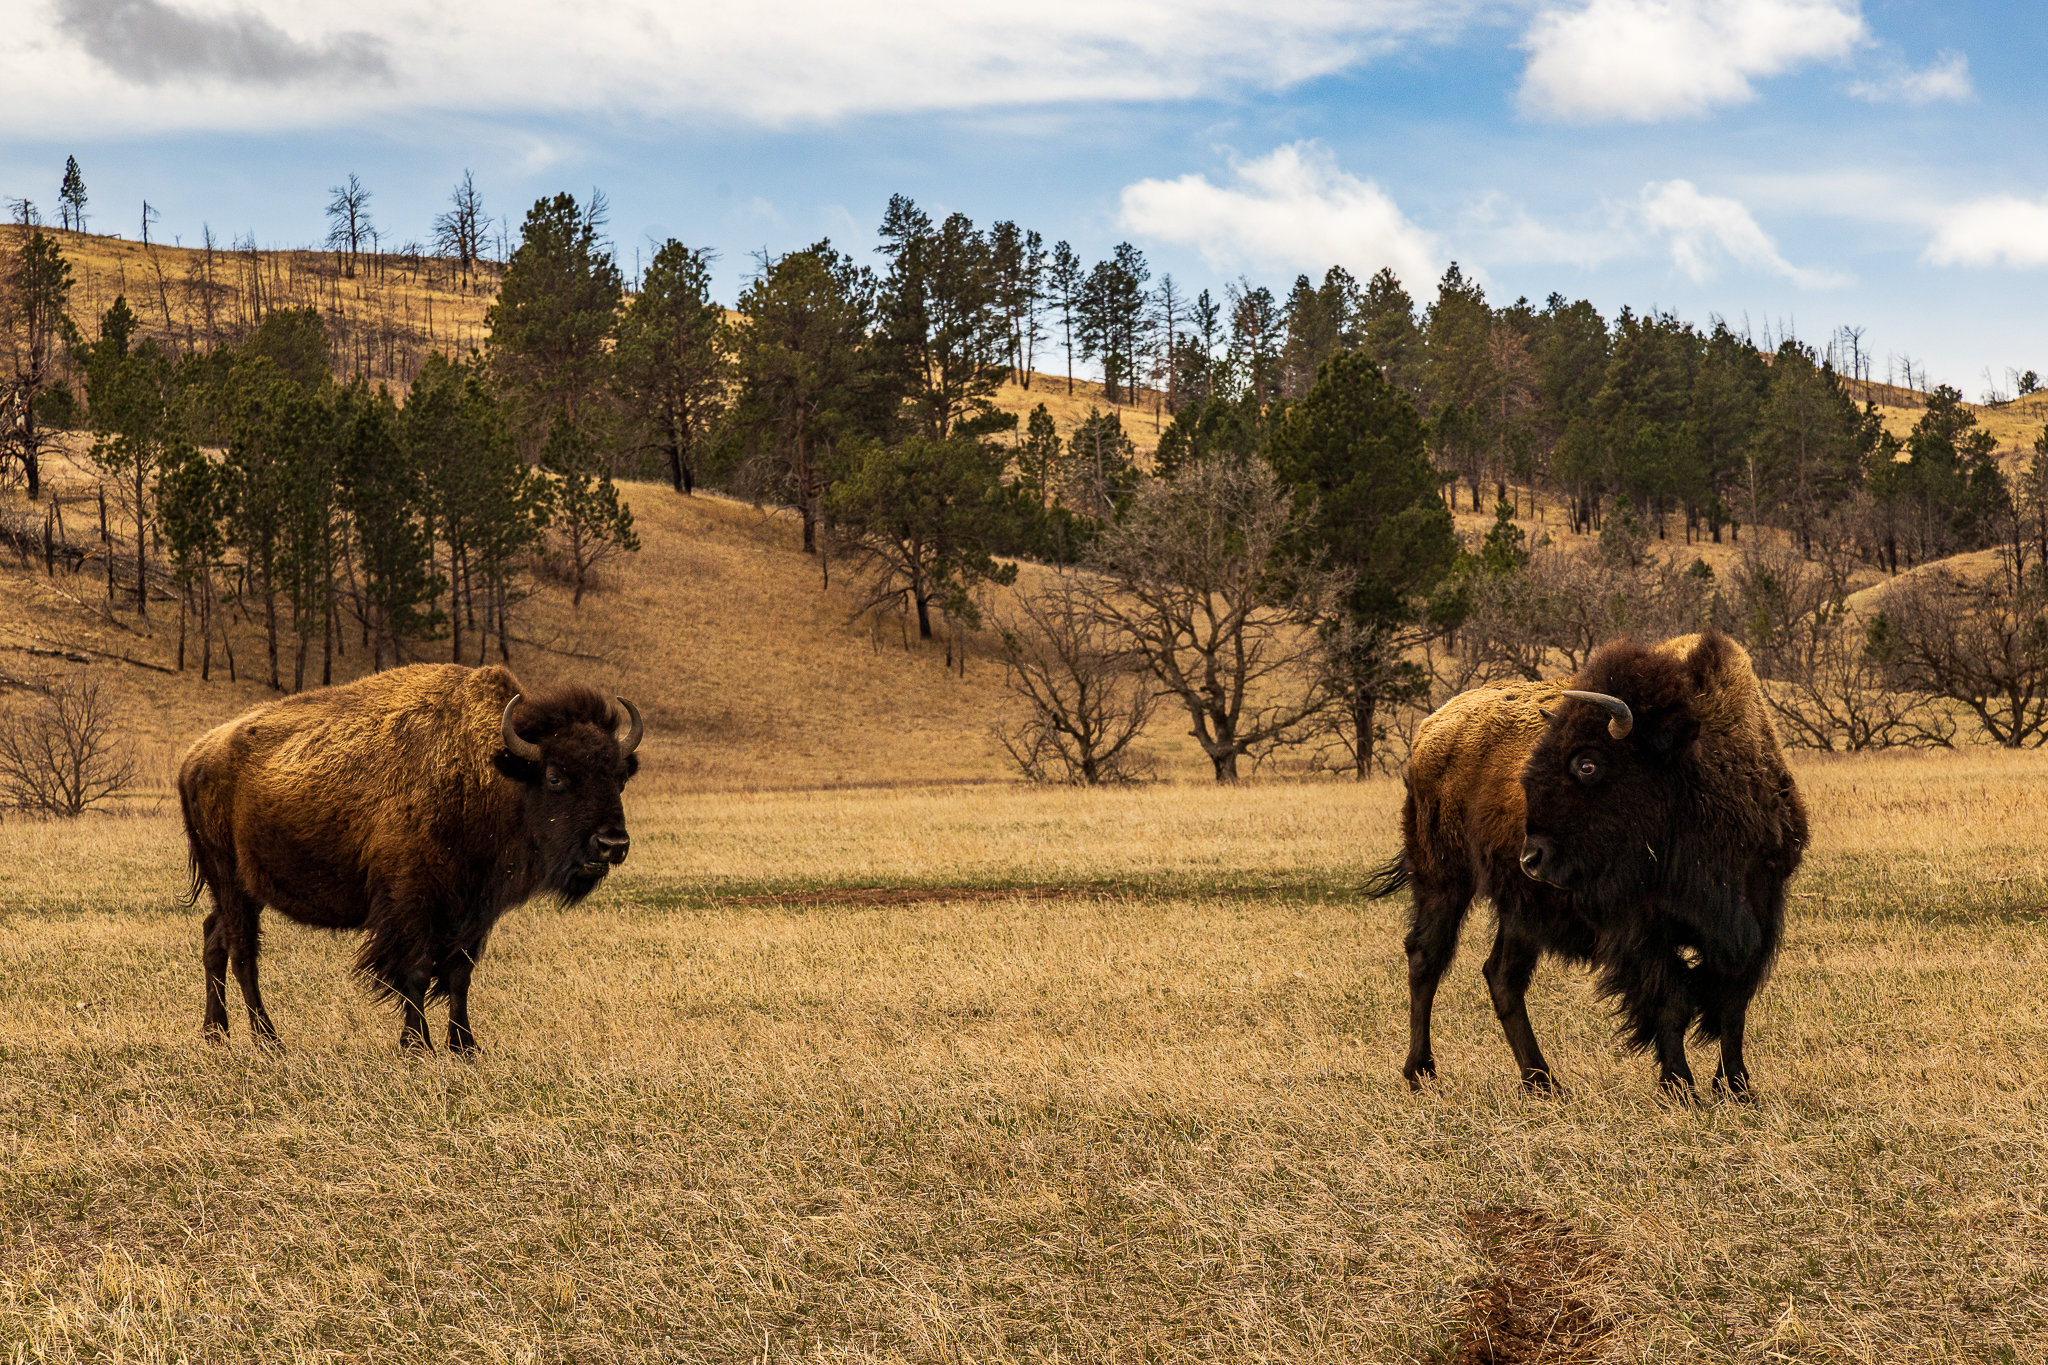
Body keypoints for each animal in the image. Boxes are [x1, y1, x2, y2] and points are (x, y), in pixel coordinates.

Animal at [178, 663, 642, 1053]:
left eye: (620, 778)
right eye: (555, 776)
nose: (612, 844)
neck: (490, 772)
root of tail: (194, 758)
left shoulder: (473, 909)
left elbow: (459, 975)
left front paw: (464, 1047)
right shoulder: (412, 902)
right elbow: (415, 971)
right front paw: (417, 1046)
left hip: (244, 890)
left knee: (214, 939)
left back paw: (216, 1034)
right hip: (229, 879)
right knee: (243, 953)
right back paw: (268, 1040)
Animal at [1366, 631, 1808, 1096]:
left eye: (1587, 763)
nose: (1532, 857)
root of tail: (1431, 729)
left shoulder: (1757, 913)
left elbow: (1731, 1006)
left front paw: (1736, 1088)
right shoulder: (1638, 928)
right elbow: (1672, 1002)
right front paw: (1679, 1087)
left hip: (1520, 909)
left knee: (1502, 976)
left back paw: (1542, 1081)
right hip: (1442, 880)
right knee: (1426, 959)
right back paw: (1421, 1071)